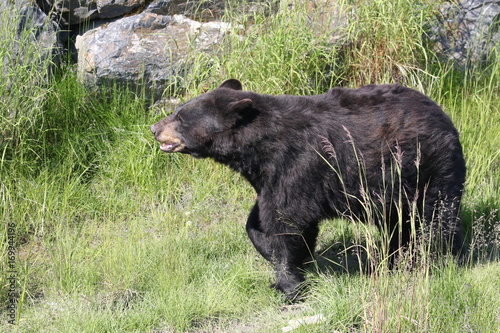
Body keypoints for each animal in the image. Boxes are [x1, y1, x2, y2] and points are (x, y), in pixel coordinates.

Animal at [150, 80, 466, 298]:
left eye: (181, 118)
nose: (154, 128)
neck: (261, 147)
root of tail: (444, 116)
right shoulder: (272, 176)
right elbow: (261, 218)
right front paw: (276, 252)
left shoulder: (299, 164)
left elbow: (287, 220)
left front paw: (287, 283)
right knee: (398, 224)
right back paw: (394, 258)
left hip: (427, 170)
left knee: (432, 220)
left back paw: (425, 260)